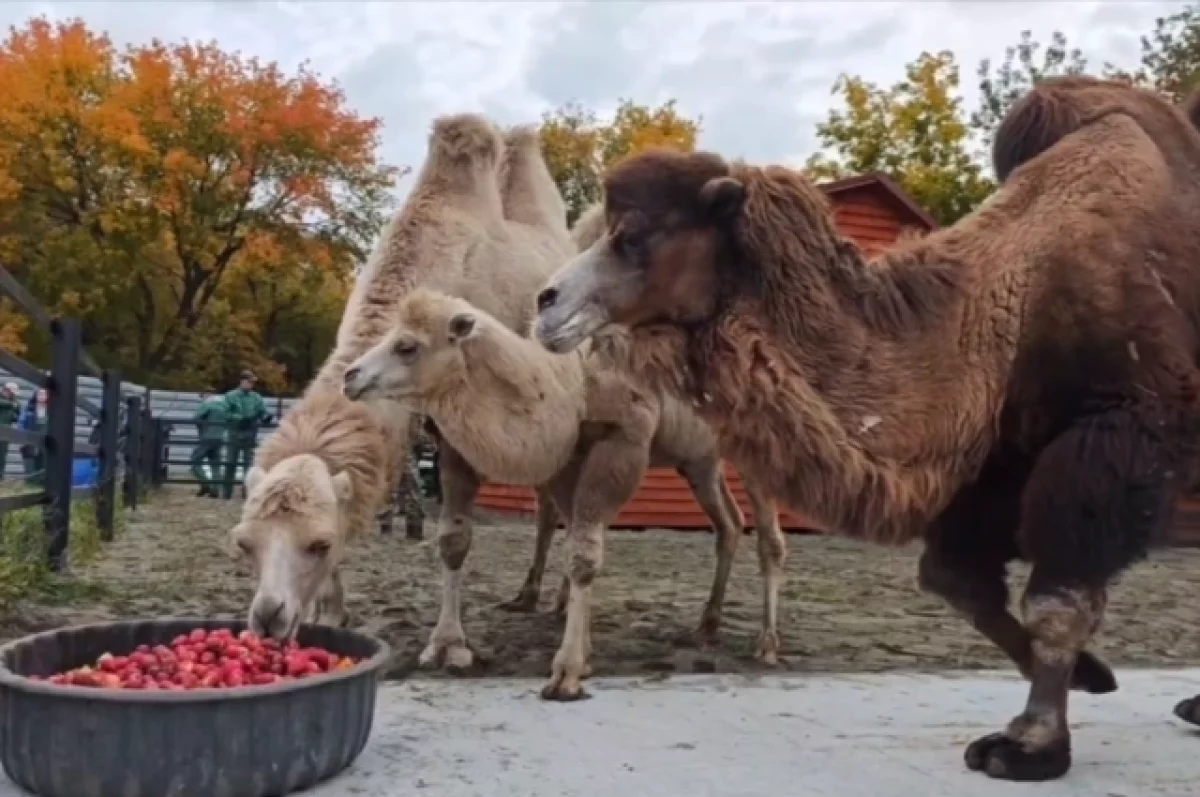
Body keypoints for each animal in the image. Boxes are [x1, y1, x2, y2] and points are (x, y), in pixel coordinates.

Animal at [232, 112, 576, 638]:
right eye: (245, 543)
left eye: (318, 543)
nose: (269, 619)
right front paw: (332, 613)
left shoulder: (459, 427)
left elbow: (454, 539)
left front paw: (450, 641)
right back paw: (527, 596)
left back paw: (554, 601)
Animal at [532, 78, 1200, 782]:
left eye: (633, 235)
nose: (545, 301)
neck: (1014, 300)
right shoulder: (1003, 454)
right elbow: (955, 580)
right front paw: (1093, 675)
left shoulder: (1125, 429)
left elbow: (1056, 597)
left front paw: (1028, 746)